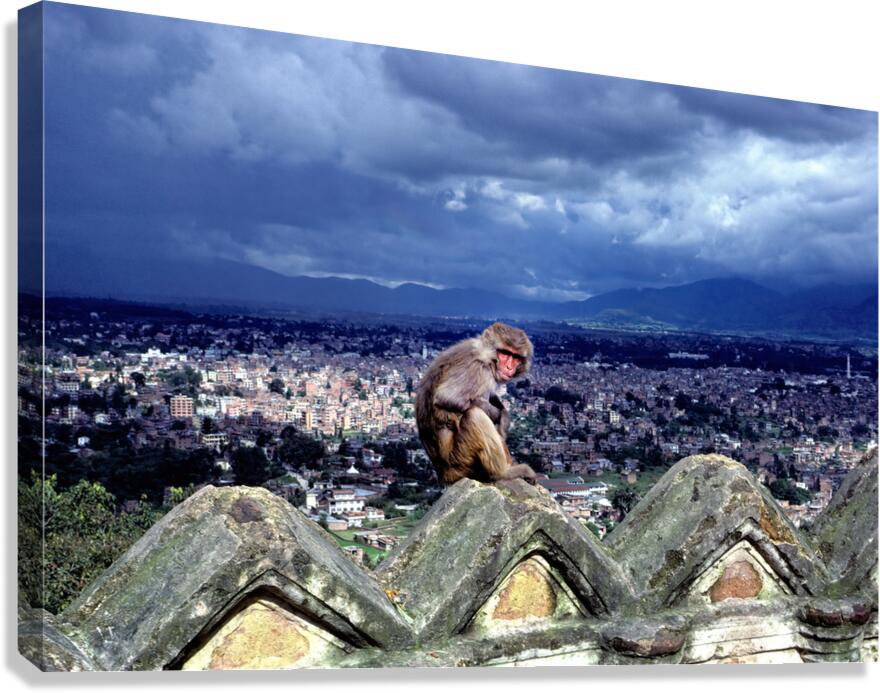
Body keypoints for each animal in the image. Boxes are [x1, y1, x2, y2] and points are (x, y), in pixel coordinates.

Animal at [416, 322, 537, 485]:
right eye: (505, 353)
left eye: (515, 357)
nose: (509, 367)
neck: (487, 356)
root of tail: (444, 475)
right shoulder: (479, 369)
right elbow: (447, 397)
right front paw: (499, 415)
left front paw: (503, 413)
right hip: (459, 462)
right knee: (474, 415)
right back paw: (502, 473)